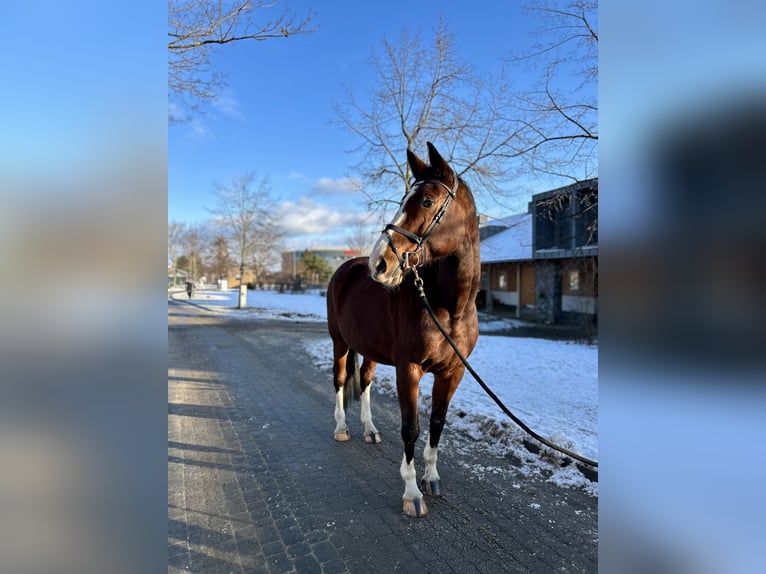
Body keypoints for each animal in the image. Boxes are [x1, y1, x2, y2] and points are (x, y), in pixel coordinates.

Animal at [326, 142, 480, 517]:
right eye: (402, 200)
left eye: (426, 201)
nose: (379, 263)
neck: (448, 308)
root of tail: (345, 269)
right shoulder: (408, 369)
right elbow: (411, 428)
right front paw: (412, 493)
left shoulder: (452, 372)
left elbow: (437, 423)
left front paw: (432, 478)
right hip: (339, 343)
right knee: (340, 381)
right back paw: (342, 429)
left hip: (368, 349)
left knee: (365, 381)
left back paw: (369, 430)